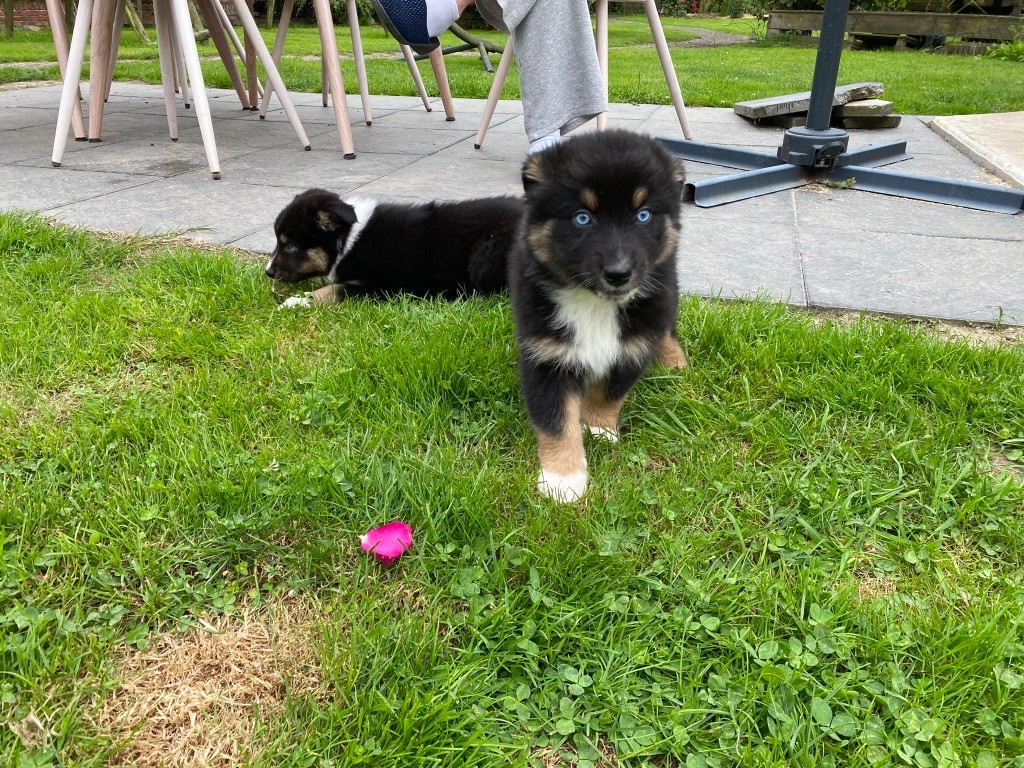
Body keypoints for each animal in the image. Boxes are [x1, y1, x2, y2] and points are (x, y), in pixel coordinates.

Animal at [509, 131, 688, 505]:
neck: (594, 303)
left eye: (643, 215)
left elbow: (609, 392)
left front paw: (598, 429)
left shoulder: (633, 346)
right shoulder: (545, 354)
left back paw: (674, 360)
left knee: (667, 327)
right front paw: (563, 479)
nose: (618, 274)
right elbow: (555, 420)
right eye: (582, 218)